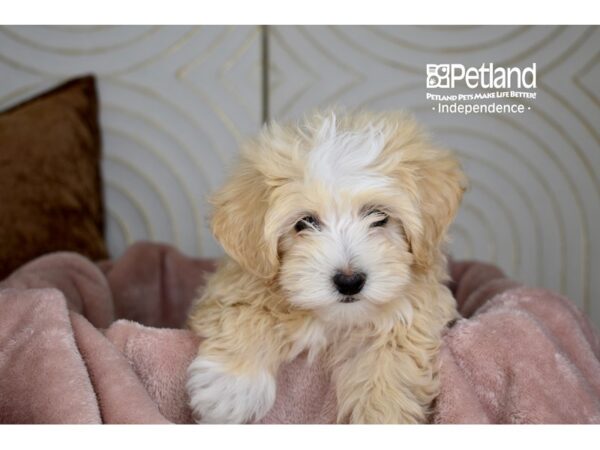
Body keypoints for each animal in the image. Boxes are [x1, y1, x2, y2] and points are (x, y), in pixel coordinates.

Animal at [185, 110, 466, 424]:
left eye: (378, 216)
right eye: (304, 223)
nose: (349, 281)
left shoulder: (414, 308)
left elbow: (390, 360)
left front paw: (382, 415)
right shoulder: (239, 283)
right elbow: (244, 312)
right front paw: (232, 389)